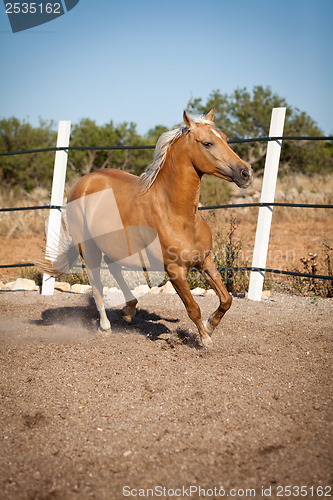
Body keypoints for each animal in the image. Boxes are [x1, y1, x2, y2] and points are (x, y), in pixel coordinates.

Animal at [47, 107, 252, 346]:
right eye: (207, 143)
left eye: (225, 138)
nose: (246, 173)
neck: (178, 215)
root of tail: (82, 183)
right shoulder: (174, 271)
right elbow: (193, 308)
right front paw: (205, 339)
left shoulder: (205, 260)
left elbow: (227, 299)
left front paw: (210, 326)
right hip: (88, 248)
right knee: (96, 283)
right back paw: (105, 327)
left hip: (116, 246)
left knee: (114, 268)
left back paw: (129, 310)